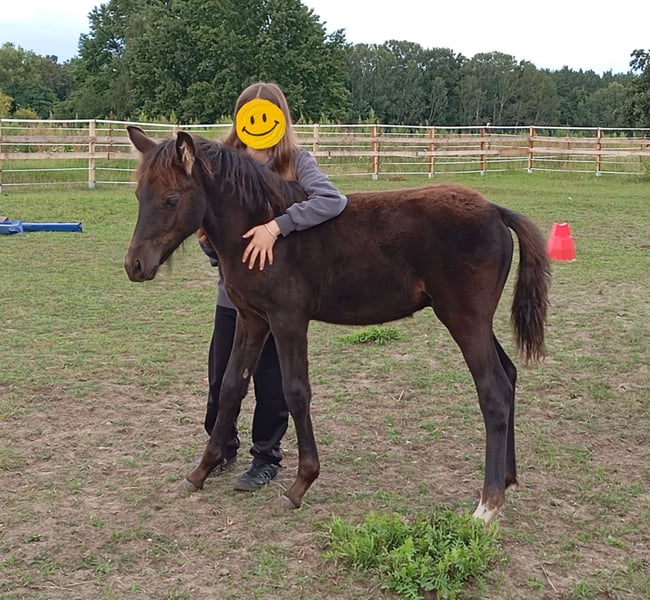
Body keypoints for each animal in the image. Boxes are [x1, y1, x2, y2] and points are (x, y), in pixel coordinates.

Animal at [124, 125, 550, 523]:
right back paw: (508, 480)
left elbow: (296, 392)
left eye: (172, 198)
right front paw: (201, 471)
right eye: (139, 196)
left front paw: (301, 484)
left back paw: (487, 504)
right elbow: (231, 387)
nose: (135, 266)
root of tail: (495, 210)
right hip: (474, 321)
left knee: (493, 391)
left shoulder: (288, 320)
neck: (260, 230)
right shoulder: (252, 320)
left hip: (465, 319)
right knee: (509, 375)